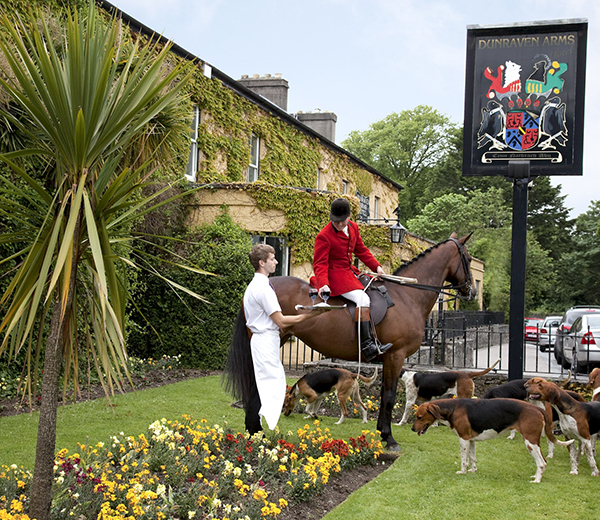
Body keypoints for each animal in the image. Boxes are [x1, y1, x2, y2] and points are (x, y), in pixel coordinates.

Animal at [223, 232, 476, 450]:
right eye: (468, 258)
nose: (472, 291)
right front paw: (388, 438)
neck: (407, 296)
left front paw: (382, 433)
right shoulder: (395, 355)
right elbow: (389, 396)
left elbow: (384, 395)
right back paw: (256, 433)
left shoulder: (390, 359)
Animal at [412, 398, 572, 484]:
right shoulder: (471, 440)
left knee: (542, 462)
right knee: (543, 460)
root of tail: (538, 409)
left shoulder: (463, 439)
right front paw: (473, 471)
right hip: (534, 442)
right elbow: (473, 458)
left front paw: (463, 472)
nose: (413, 429)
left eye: (419, 417)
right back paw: (536, 476)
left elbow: (464, 460)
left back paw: (537, 480)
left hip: (530, 442)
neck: (452, 408)